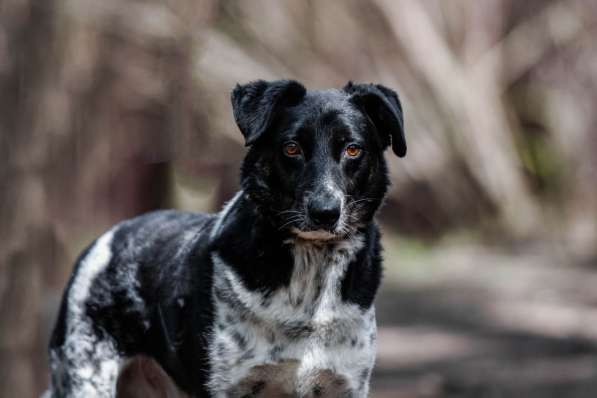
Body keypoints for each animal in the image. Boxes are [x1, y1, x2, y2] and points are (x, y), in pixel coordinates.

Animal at [46, 79, 406, 396]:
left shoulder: (345, 385)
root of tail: (106, 239)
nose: (325, 211)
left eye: (353, 149)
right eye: (291, 148)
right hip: (86, 376)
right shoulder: (223, 386)